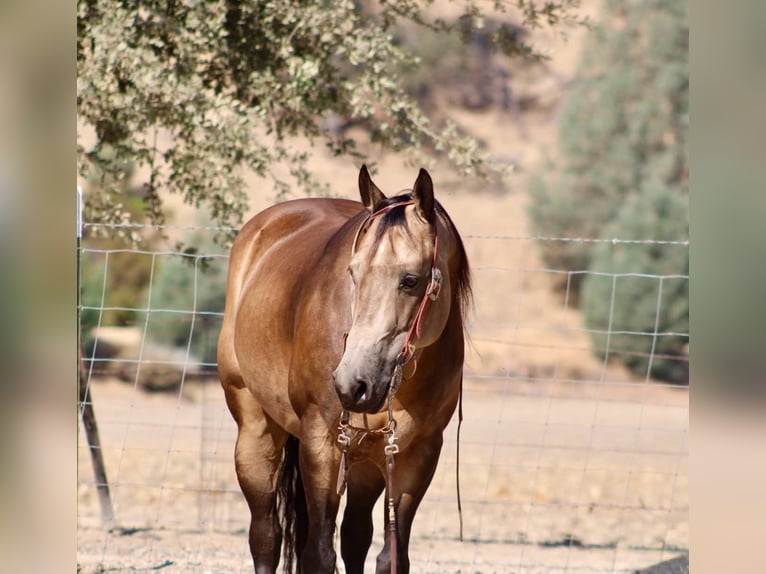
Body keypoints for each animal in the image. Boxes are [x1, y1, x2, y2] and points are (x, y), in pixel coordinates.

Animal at [217, 165, 471, 573]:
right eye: (353, 273)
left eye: (411, 280)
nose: (353, 384)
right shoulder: (322, 442)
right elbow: (318, 554)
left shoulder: (418, 453)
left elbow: (390, 556)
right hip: (256, 432)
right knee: (266, 537)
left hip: (367, 461)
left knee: (355, 537)